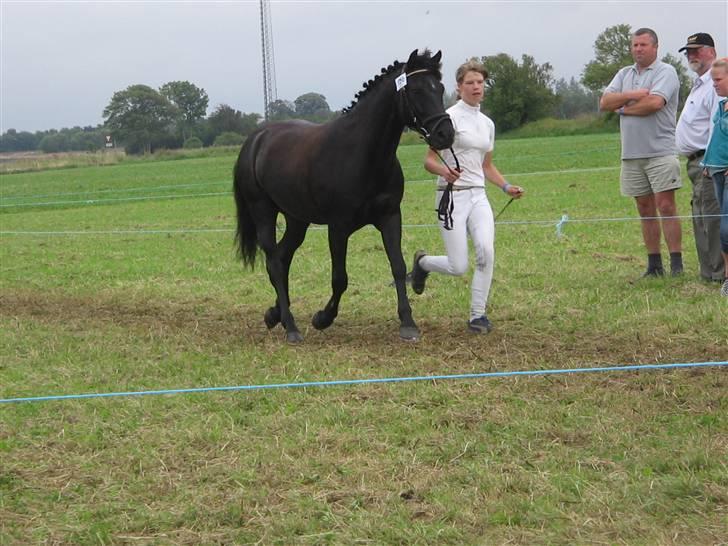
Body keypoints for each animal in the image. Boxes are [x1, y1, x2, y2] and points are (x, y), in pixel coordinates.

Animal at [233, 50, 452, 340]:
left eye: (440, 88)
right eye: (416, 90)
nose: (446, 133)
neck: (363, 155)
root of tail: (256, 139)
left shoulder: (390, 217)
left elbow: (398, 266)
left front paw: (408, 323)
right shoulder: (338, 227)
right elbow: (340, 278)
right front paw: (322, 318)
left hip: (296, 220)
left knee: (282, 256)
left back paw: (275, 314)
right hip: (263, 213)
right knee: (275, 262)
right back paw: (291, 327)